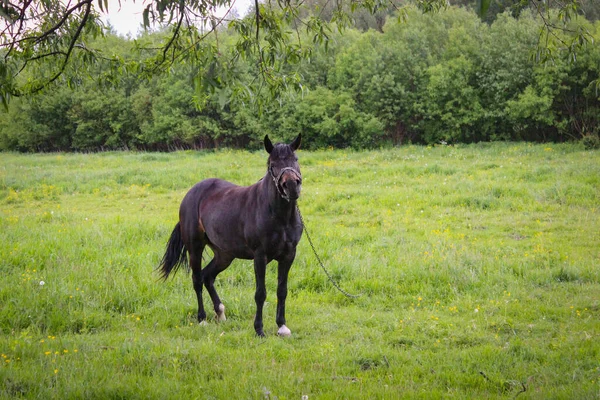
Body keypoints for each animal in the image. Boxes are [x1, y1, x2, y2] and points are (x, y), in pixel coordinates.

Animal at [158, 135, 302, 338]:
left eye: (295, 159)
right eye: (272, 164)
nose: (291, 186)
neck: (278, 215)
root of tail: (191, 194)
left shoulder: (288, 255)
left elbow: (282, 290)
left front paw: (282, 326)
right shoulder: (260, 256)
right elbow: (260, 293)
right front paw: (259, 329)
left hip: (224, 255)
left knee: (207, 276)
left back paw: (220, 312)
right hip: (195, 248)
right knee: (197, 279)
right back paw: (202, 319)